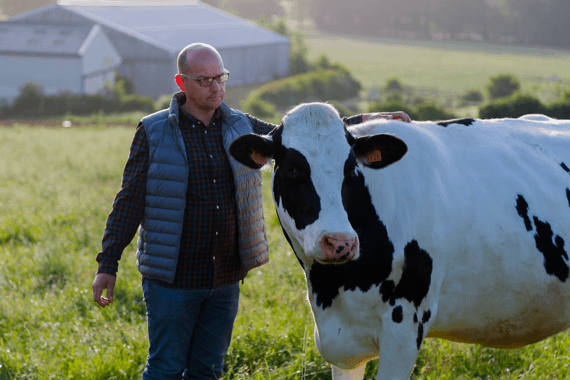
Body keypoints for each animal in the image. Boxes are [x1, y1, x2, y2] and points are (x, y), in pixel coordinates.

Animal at [227, 104, 568, 380]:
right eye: (293, 168)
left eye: (350, 168)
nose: (340, 242)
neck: (331, 287)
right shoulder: (341, 343)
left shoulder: (403, 328)